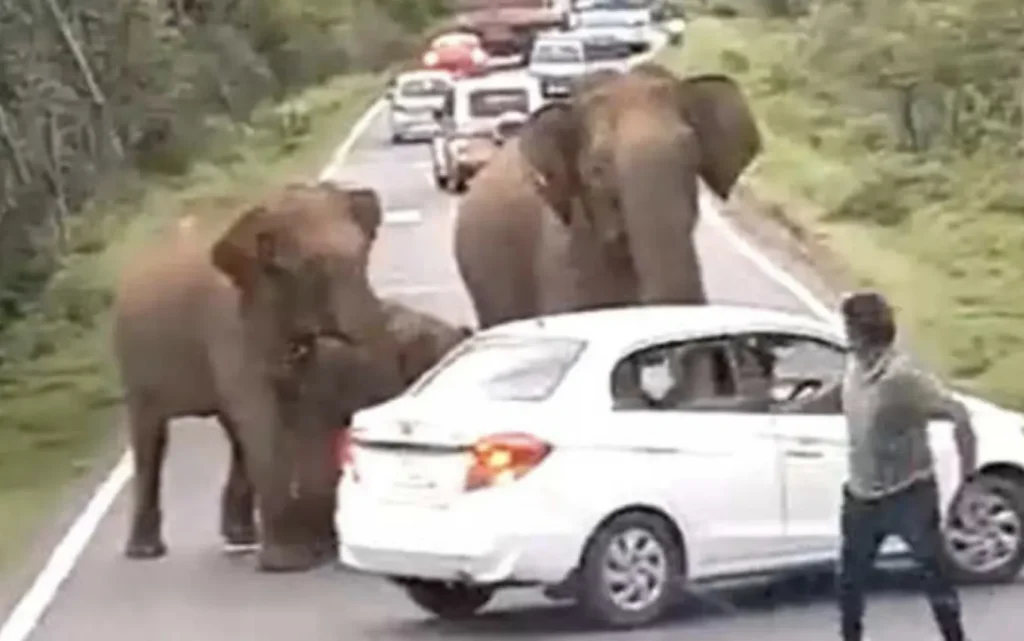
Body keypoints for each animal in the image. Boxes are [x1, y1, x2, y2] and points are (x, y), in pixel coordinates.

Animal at [108, 180, 403, 569]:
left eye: (365, 253)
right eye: (311, 266)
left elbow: (300, 406)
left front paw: (314, 552)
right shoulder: (228, 324)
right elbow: (261, 418)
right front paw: (290, 563)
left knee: (235, 435)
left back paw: (241, 539)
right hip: (135, 359)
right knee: (151, 438)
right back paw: (145, 552)